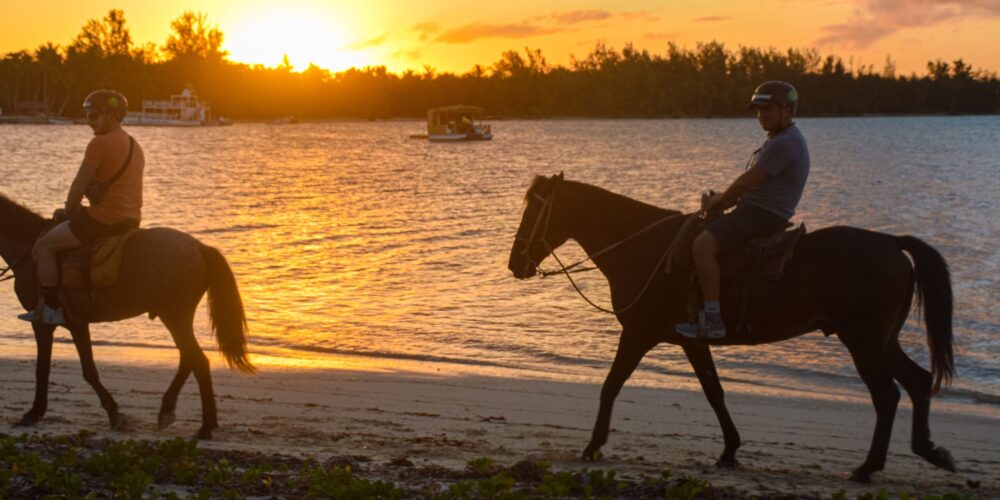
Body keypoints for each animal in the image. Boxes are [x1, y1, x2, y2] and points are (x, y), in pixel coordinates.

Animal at [1, 193, 252, 440]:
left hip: (174, 316)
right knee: (188, 358)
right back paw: (170, 410)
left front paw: (34, 413)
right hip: (176, 318)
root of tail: (200, 248)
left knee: (197, 360)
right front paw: (113, 413)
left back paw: (205, 425)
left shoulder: (43, 324)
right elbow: (85, 369)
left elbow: (50, 369)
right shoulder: (76, 323)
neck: (29, 246)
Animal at [512, 174, 956, 482]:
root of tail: (891, 243)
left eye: (534, 212)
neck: (644, 248)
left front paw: (592, 445)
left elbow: (611, 384)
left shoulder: (638, 334)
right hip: (882, 341)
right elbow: (714, 392)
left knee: (887, 395)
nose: (515, 263)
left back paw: (867, 467)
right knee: (917, 381)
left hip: (863, 341)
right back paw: (928, 449)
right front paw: (729, 451)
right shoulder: (691, 340)